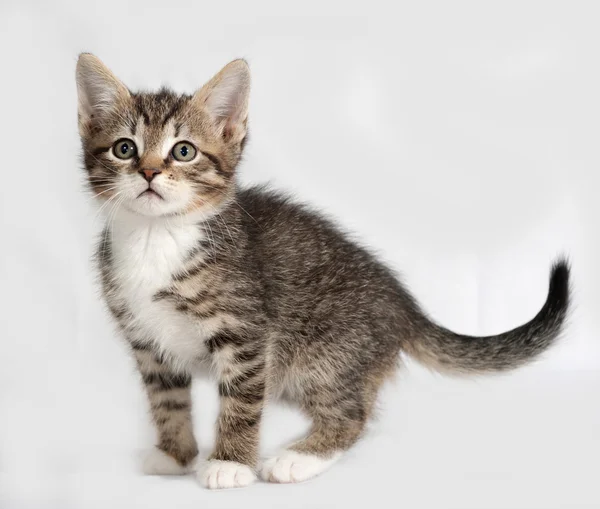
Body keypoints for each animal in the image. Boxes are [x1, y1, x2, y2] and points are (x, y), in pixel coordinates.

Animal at [76, 54, 572, 488]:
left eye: (183, 151)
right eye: (125, 149)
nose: (149, 172)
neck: (155, 237)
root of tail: (403, 304)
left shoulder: (247, 335)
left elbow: (241, 402)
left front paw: (230, 465)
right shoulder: (147, 344)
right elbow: (167, 401)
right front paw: (176, 454)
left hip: (326, 355)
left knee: (353, 414)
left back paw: (299, 457)